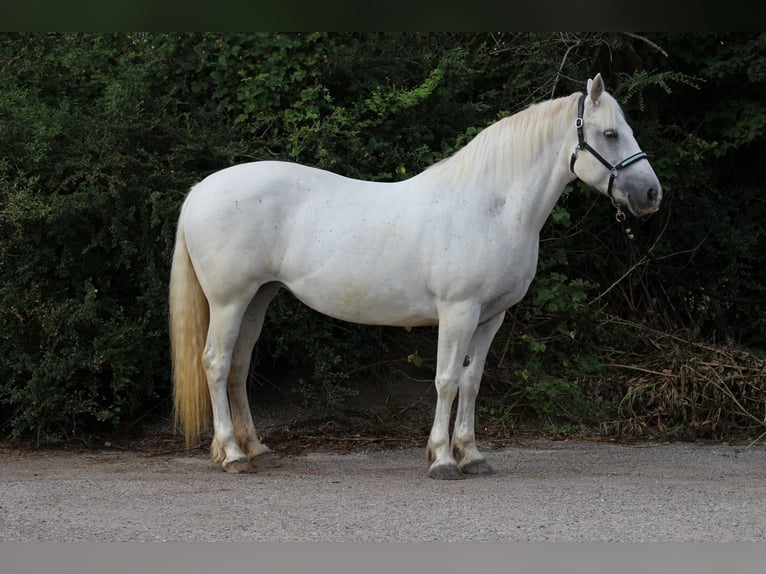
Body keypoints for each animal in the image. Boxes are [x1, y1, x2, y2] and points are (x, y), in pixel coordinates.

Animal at [171, 76, 664, 482]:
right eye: (610, 134)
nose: (651, 194)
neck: (491, 207)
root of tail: (200, 191)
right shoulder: (458, 311)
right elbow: (446, 380)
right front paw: (442, 460)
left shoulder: (492, 318)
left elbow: (472, 381)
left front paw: (472, 456)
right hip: (229, 300)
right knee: (216, 363)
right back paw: (233, 455)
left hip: (259, 297)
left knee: (238, 366)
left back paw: (257, 449)